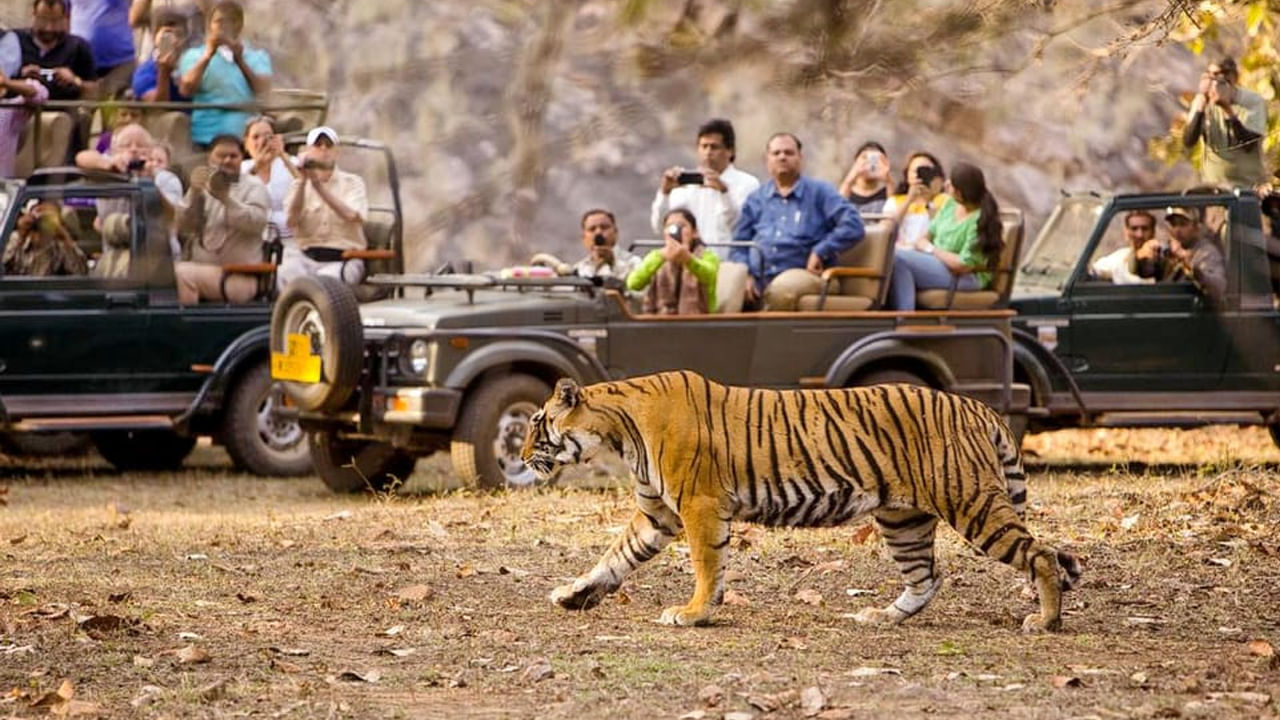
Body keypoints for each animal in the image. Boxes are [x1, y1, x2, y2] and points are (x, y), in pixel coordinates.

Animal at [521, 370, 1082, 632]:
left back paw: (1046, 622)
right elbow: (614, 557)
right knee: (927, 577)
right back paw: (881, 617)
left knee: (1041, 555)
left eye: (537, 424)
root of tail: (977, 407)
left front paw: (694, 613)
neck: (617, 430)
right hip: (904, 518)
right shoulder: (657, 514)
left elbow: (706, 565)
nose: (523, 455)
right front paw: (573, 594)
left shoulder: (698, 505)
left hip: (971, 502)